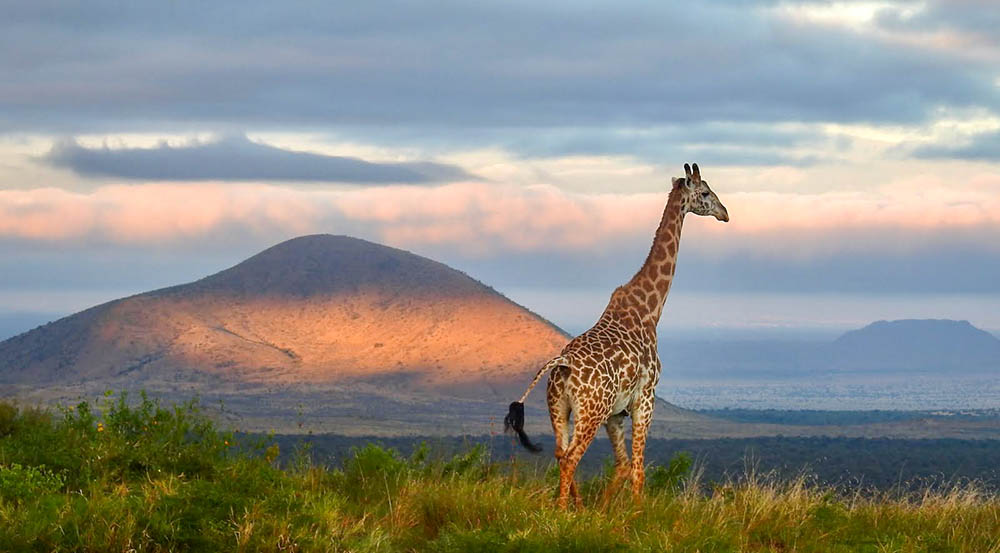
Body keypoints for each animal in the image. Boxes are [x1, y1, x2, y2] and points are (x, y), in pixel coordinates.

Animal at [504, 162, 729, 509]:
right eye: (705, 192)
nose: (725, 213)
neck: (649, 310)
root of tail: (562, 364)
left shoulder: (616, 413)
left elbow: (622, 465)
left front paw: (605, 510)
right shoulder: (645, 399)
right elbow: (638, 467)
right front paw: (637, 514)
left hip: (559, 408)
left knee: (560, 453)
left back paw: (577, 506)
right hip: (591, 411)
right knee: (571, 458)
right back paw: (562, 511)